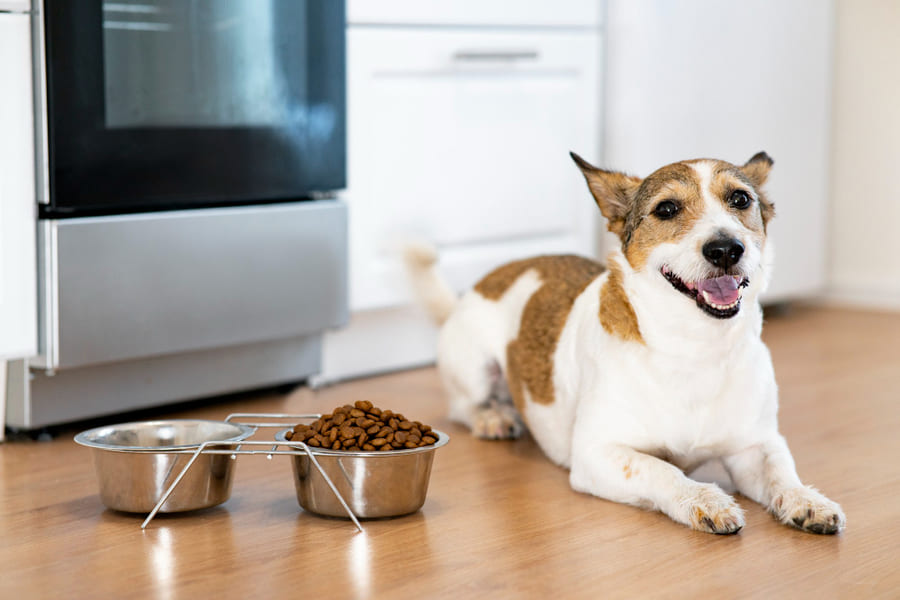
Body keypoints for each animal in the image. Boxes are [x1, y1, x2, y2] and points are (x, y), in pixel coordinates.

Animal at [404, 150, 848, 536]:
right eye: (666, 209)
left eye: (740, 199)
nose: (725, 249)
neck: (694, 346)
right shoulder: (597, 454)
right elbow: (662, 469)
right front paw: (704, 498)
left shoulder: (754, 445)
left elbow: (781, 472)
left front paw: (806, 500)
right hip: (476, 370)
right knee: (463, 406)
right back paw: (493, 417)